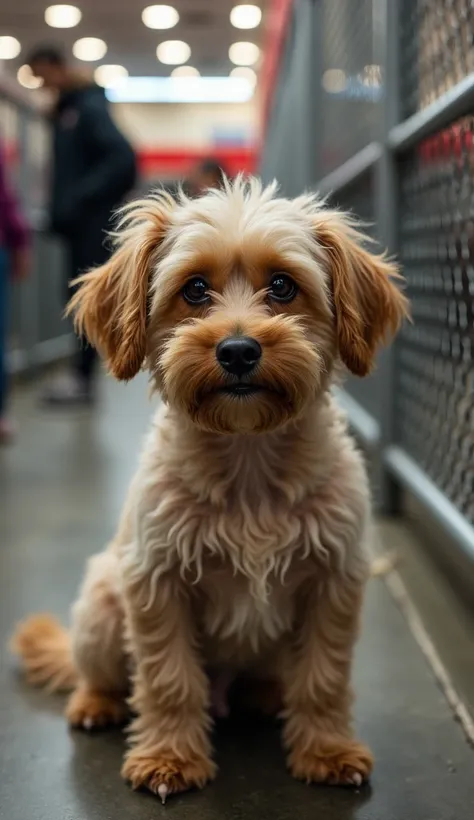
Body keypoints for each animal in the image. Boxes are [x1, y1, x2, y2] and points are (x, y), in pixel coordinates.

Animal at [12, 178, 410, 800]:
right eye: (195, 289)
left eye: (282, 285)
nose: (239, 350)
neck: (248, 460)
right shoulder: (157, 583)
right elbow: (168, 679)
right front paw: (170, 758)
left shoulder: (333, 582)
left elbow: (323, 677)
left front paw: (326, 750)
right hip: (102, 607)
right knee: (99, 676)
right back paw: (96, 702)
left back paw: (266, 696)